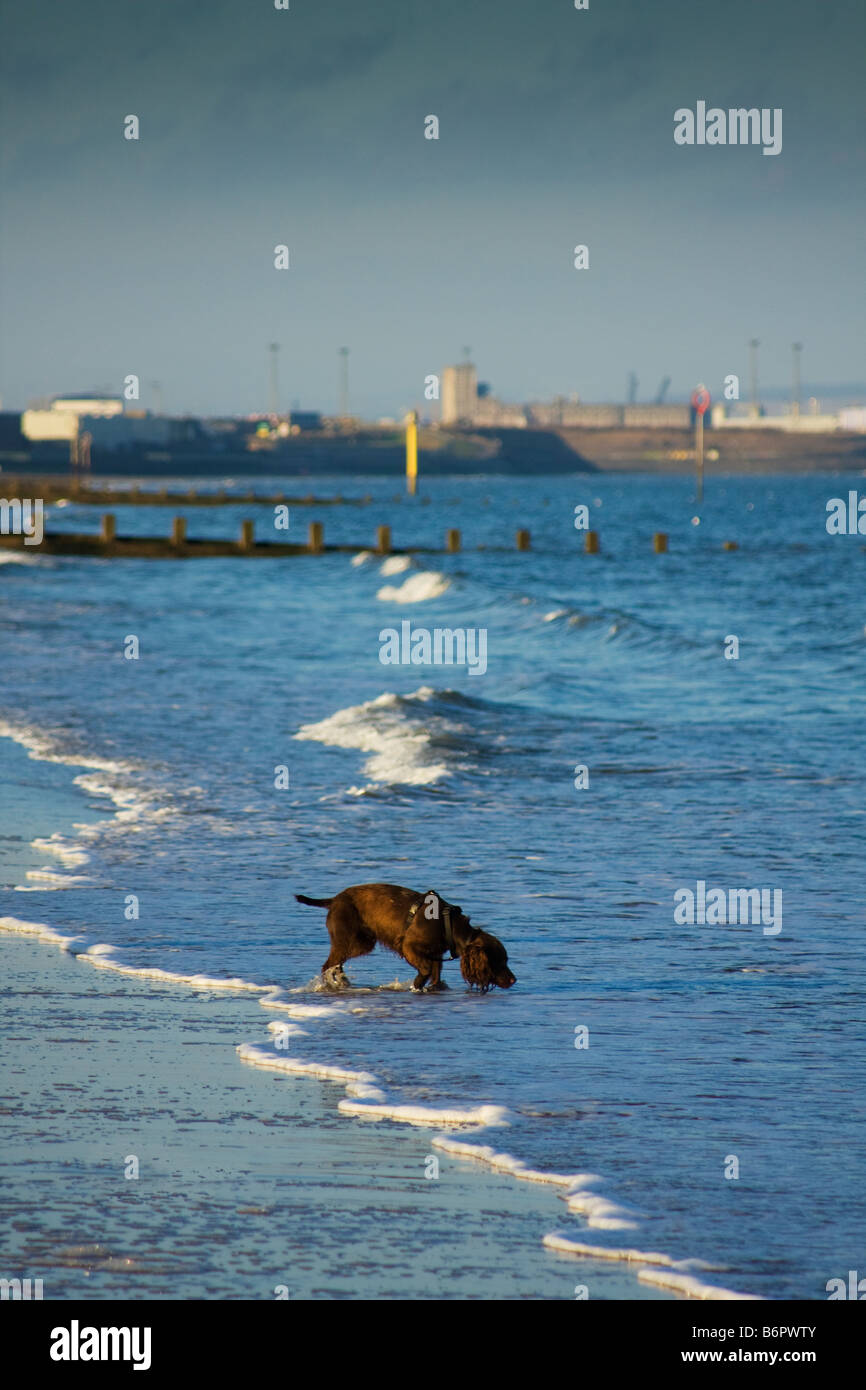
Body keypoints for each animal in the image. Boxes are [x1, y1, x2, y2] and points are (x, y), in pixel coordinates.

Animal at [294, 884, 517, 995]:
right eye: (498, 961)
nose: (514, 980)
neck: (450, 926)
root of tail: (334, 900)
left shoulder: (435, 954)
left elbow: (435, 976)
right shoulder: (409, 947)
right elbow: (425, 971)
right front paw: (416, 986)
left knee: (336, 965)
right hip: (353, 941)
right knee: (328, 965)